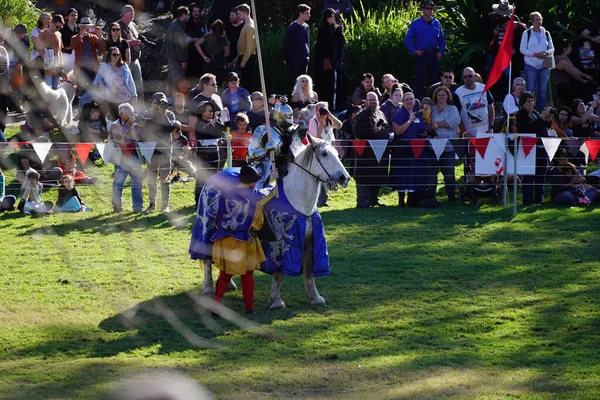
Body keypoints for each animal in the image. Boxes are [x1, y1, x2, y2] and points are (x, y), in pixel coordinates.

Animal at [200, 133, 352, 308]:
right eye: (325, 154)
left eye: (337, 153)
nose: (345, 178)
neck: (298, 201)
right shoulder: (280, 244)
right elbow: (279, 274)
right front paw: (276, 300)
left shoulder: (310, 243)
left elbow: (308, 271)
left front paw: (315, 297)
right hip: (207, 228)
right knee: (207, 259)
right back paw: (208, 288)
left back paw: (229, 283)